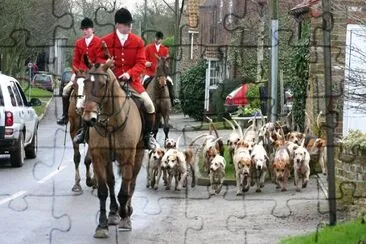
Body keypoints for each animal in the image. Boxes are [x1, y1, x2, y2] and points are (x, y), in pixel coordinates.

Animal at [82, 58, 145, 237]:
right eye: (85, 82)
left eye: (103, 84)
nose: (89, 119)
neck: (111, 122)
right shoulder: (99, 157)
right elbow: (103, 190)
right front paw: (102, 225)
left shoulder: (127, 158)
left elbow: (124, 191)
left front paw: (125, 217)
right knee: (111, 182)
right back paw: (113, 212)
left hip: (138, 156)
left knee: (132, 183)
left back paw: (126, 210)